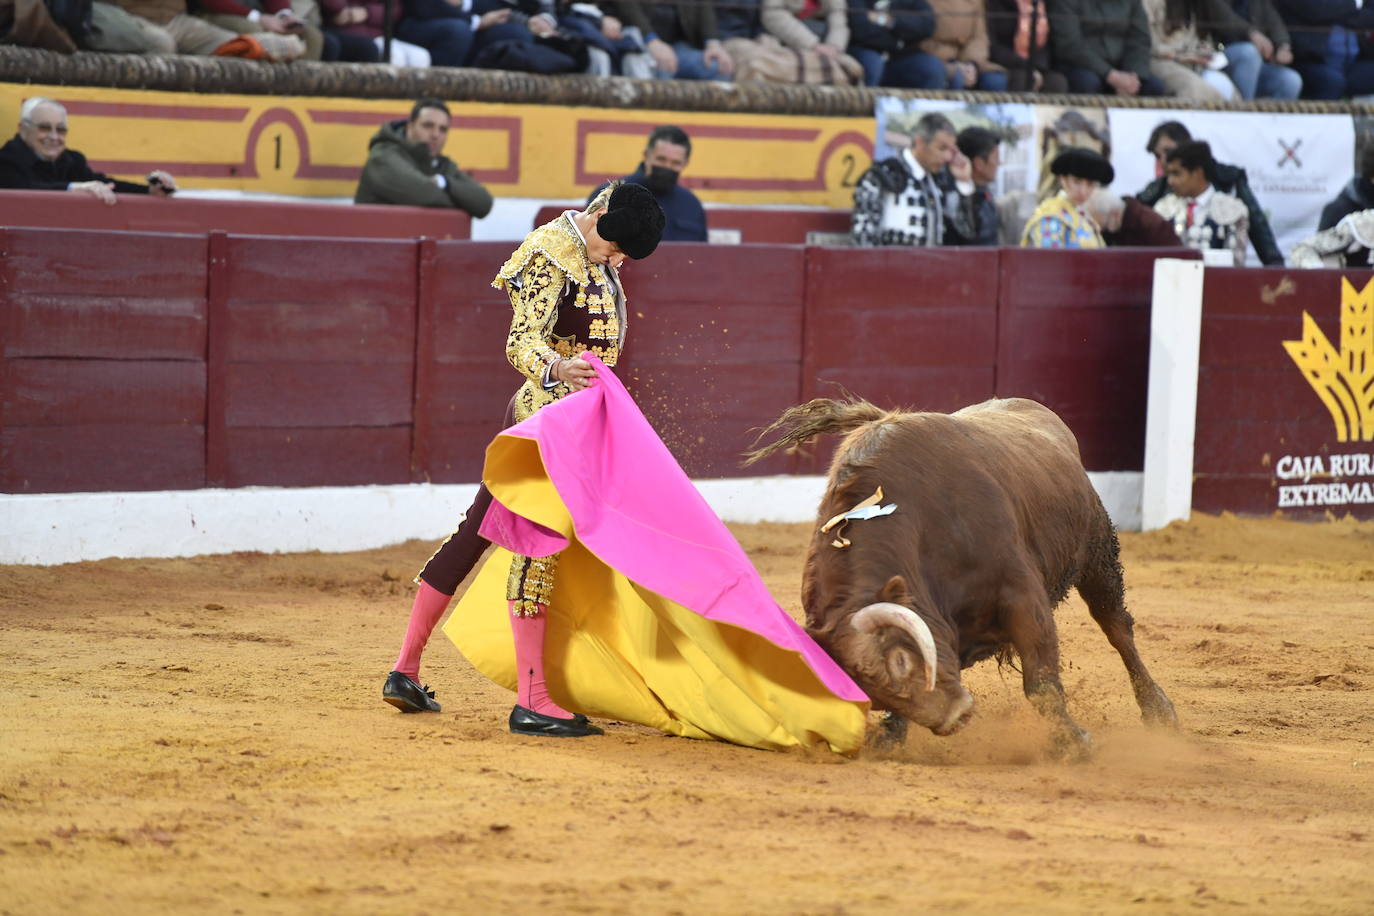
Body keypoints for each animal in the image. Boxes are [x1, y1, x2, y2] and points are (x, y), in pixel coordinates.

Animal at [747, 395, 1176, 752]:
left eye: (900, 660)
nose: (956, 717)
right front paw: (888, 736)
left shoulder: (1021, 593)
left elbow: (1040, 682)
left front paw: (1072, 743)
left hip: (1097, 554)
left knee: (1117, 627)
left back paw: (1159, 711)